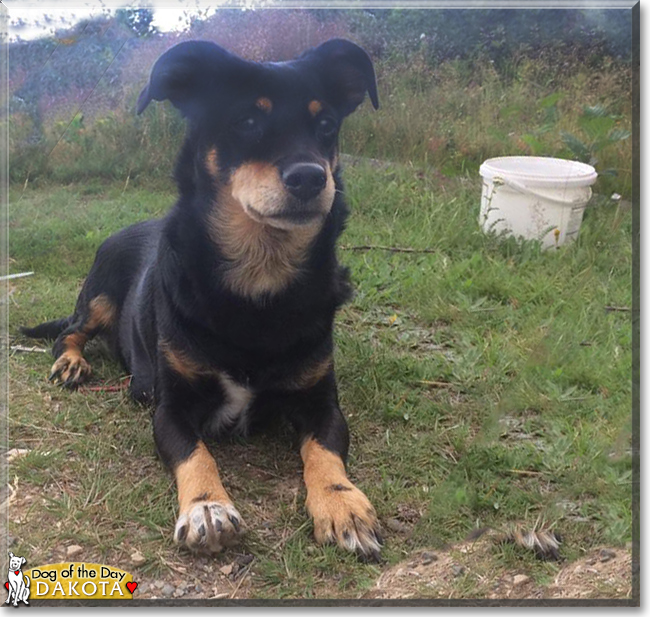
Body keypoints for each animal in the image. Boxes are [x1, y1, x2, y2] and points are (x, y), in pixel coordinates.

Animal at [22, 37, 382, 560]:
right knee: (69, 331)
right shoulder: (169, 409)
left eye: (327, 125)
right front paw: (207, 507)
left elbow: (325, 451)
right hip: (101, 293)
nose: (311, 178)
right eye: (248, 121)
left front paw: (343, 504)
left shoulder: (322, 403)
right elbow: (196, 453)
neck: (258, 280)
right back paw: (71, 362)